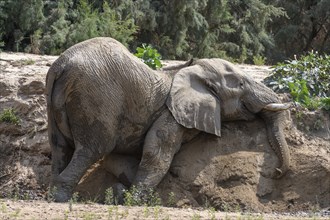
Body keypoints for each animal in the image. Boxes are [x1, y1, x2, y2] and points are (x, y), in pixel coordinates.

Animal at [45, 36, 290, 203]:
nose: (276, 172)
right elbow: (155, 155)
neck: (190, 71)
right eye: (241, 84)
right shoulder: (171, 116)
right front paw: (134, 200)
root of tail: (60, 65)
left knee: (60, 147)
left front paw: (121, 193)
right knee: (93, 149)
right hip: (97, 98)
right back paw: (61, 198)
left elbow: (119, 158)